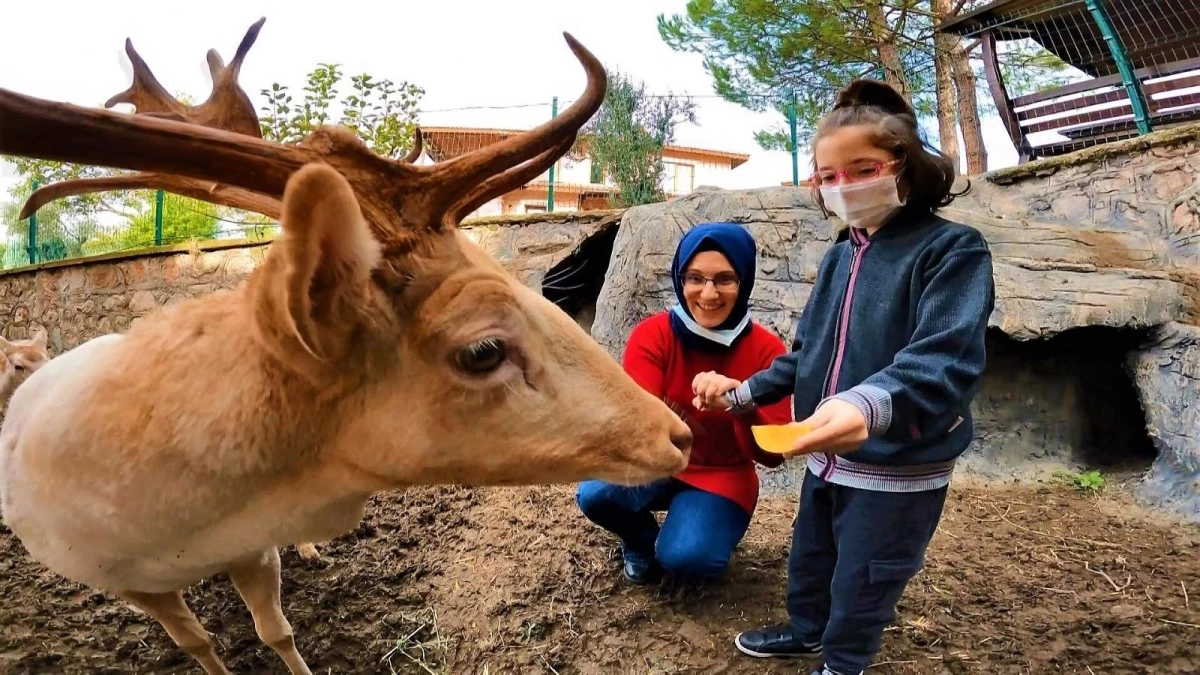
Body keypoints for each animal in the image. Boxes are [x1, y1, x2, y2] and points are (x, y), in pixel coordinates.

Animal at [0, 17, 696, 672]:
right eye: (482, 350)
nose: (677, 433)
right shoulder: (126, 582)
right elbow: (198, 643)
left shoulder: (251, 546)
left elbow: (275, 630)